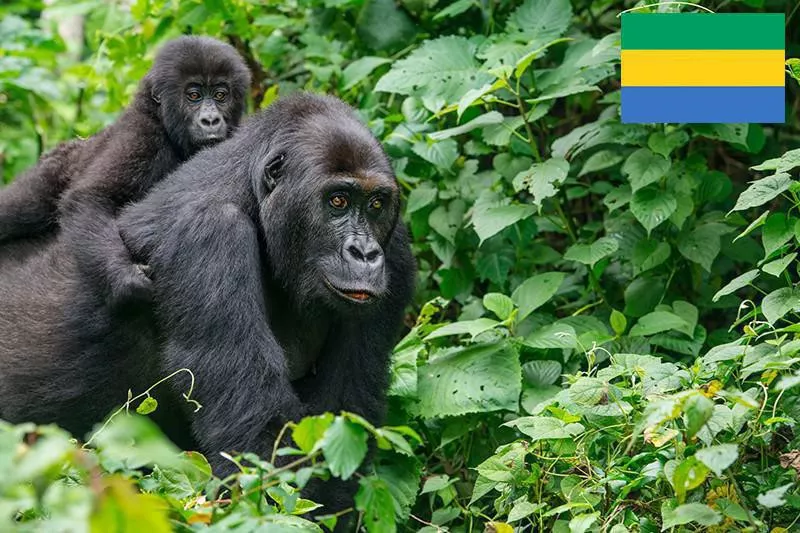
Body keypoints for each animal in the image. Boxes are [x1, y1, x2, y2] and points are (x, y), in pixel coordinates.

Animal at [0, 36, 250, 304]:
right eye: (194, 95)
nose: (211, 120)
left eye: (221, 95)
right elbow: (91, 197)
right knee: (20, 207)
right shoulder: (142, 135)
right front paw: (125, 277)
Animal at [0, 95, 412, 512]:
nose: (364, 254)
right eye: (338, 201)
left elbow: (345, 421)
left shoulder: (396, 250)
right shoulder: (209, 232)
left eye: (376, 205)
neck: (254, 197)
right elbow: (256, 444)